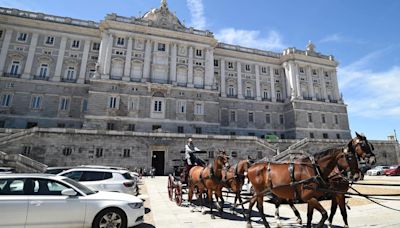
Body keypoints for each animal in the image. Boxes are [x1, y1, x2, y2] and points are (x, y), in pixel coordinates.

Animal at [245, 134, 374, 228]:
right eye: (351, 157)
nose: (357, 175)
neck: (314, 169)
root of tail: (251, 166)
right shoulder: (312, 197)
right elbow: (325, 214)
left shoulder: (314, 197)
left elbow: (311, 216)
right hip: (260, 191)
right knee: (260, 206)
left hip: (262, 191)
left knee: (254, 203)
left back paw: (253, 222)